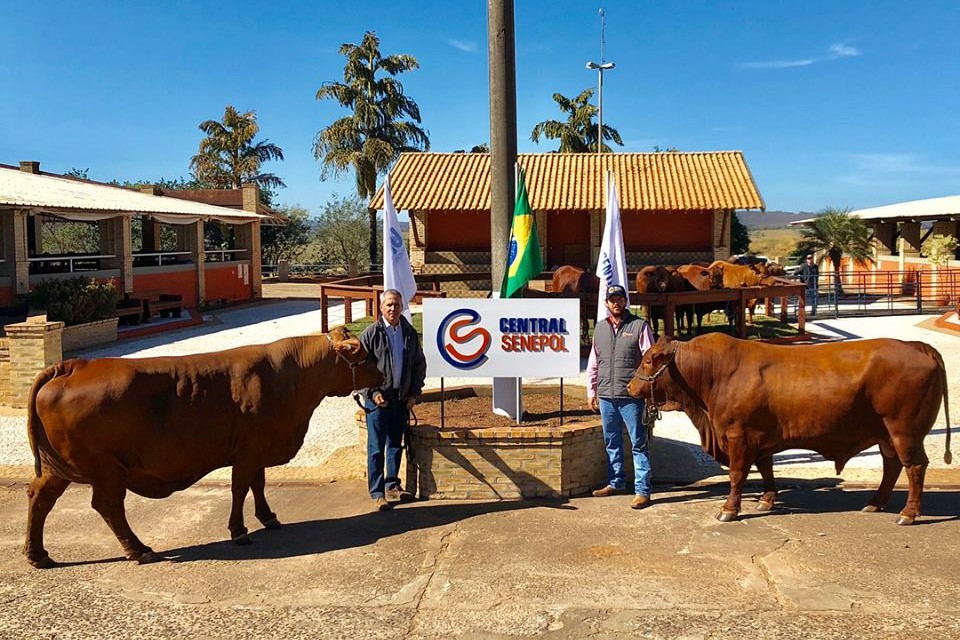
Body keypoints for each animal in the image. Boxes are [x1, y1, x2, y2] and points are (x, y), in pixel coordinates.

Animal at [23, 328, 382, 568]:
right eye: (365, 355)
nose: (381, 375)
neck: (293, 376)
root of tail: (74, 365)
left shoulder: (259, 449)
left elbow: (258, 484)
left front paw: (268, 517)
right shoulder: (249, 451)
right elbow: (240, 487)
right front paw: (239, 530)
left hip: (57, 468)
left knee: (41, 497)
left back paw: (38, 554)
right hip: (106, 470)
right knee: (108, 505)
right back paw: (139, 549)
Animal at [628, 336, 948, 524]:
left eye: (648, 360)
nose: (630, 387)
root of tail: (917, 346)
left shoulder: (738, 435)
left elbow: (737, 474)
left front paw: (729, 509)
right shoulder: (760, 438)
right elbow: (766, 468)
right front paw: (767, 500)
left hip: (904, 432)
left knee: (914, 467)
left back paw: (908, 513)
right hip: (886, 435)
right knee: (892, 466)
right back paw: (875, 503)